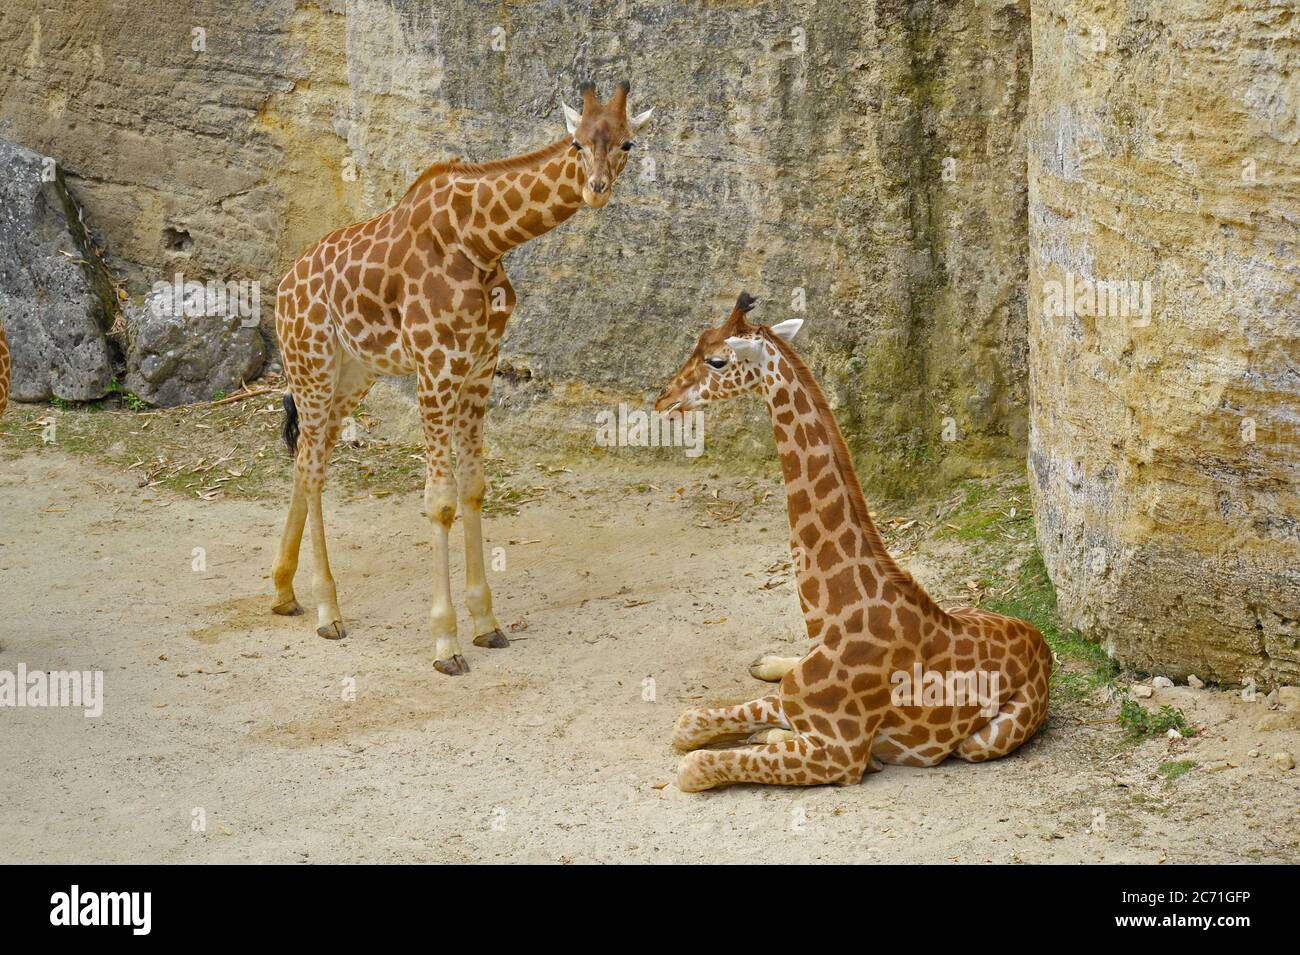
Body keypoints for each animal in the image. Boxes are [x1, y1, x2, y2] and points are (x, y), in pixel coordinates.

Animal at [276, 85, 660, 675]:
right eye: (576, 142)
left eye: (627, 143)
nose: (596, 189)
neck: (482, 242)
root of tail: (280, 288)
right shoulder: (434, 369)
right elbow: (440, 502)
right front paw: (445, 644)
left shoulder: (480, 368)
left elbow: (475, 488)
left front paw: (487, 624)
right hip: (311, 364)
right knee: (315, 469)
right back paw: (327, 611)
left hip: (353, 375)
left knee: (304, 459)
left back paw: (282, 591)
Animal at [655, 293, 1050, 789]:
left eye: (717, 360)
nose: (663, 398)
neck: (831, 617)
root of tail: (1045, 645)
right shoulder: (792, 705)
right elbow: (686, 725)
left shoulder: (839, 753)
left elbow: (693, 765)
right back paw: (766, 667)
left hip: (983, 743)